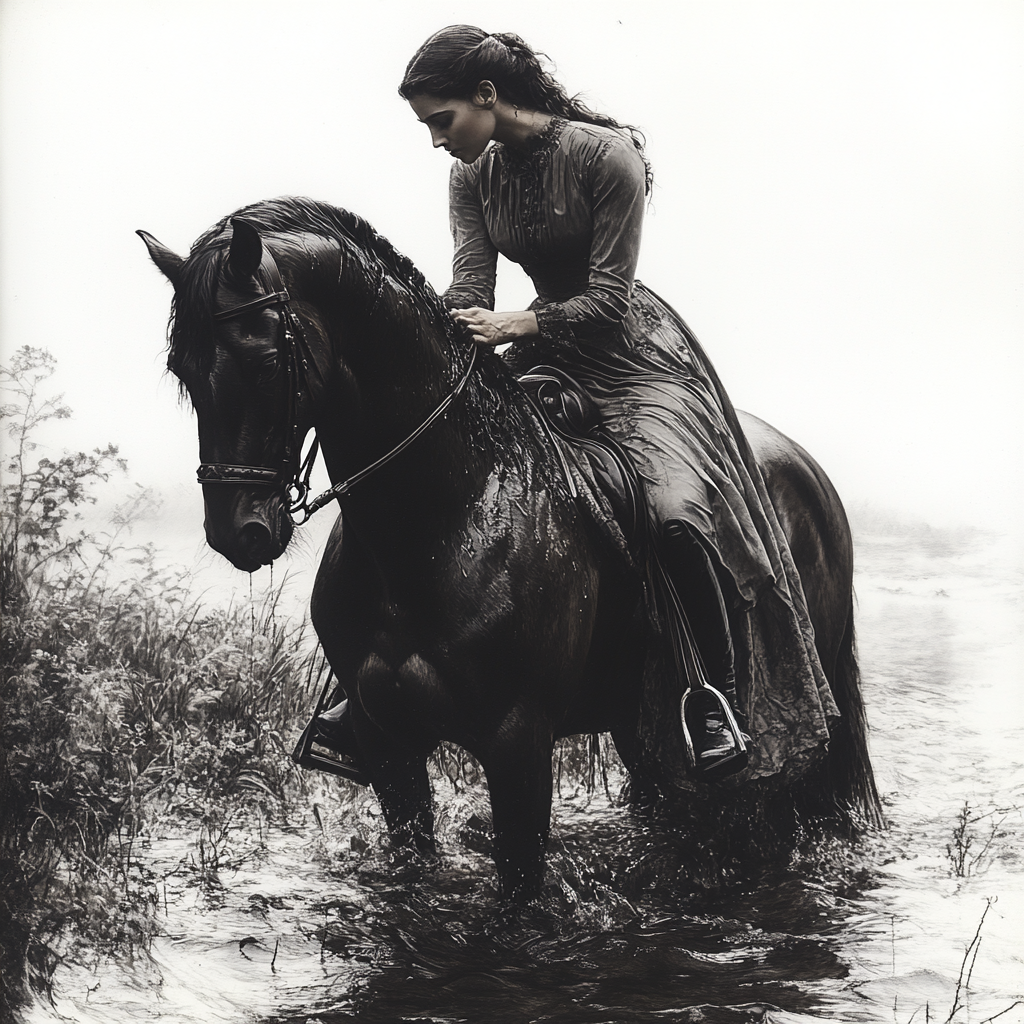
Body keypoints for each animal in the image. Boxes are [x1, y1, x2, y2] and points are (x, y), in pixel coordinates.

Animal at [140, 195, 884, 901]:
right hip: (638, 727)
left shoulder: (517, 743)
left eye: (265, 360)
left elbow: (519, 889)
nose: (239, 532)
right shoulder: (386, 741)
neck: (441, 522)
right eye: (182, 370)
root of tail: (807, 467)